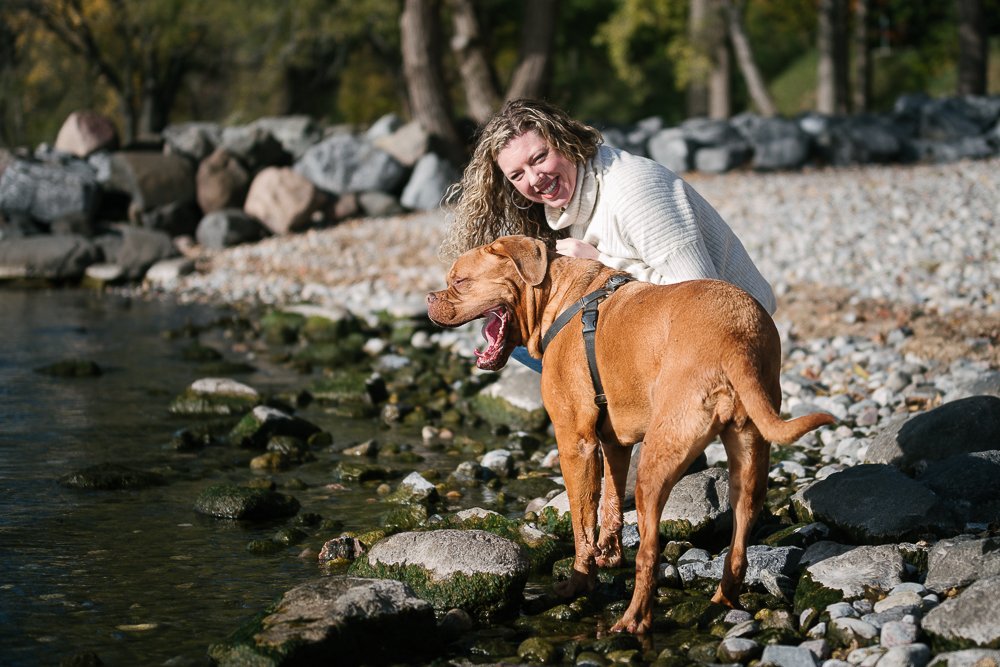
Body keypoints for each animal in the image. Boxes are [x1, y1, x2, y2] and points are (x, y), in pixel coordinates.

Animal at [426, 237, 832, 636]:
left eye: (460, 281)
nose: (430, 297)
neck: (556, 295)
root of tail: (736, 340)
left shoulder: (575, 443)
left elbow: (582, 521)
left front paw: (580, 580)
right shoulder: (613, 441)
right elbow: (609, 501)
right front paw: (608, 552)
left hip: (658, 458)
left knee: (649, 551)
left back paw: (634, 620)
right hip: (749, 454)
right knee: (739, 537)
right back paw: (723, 600)